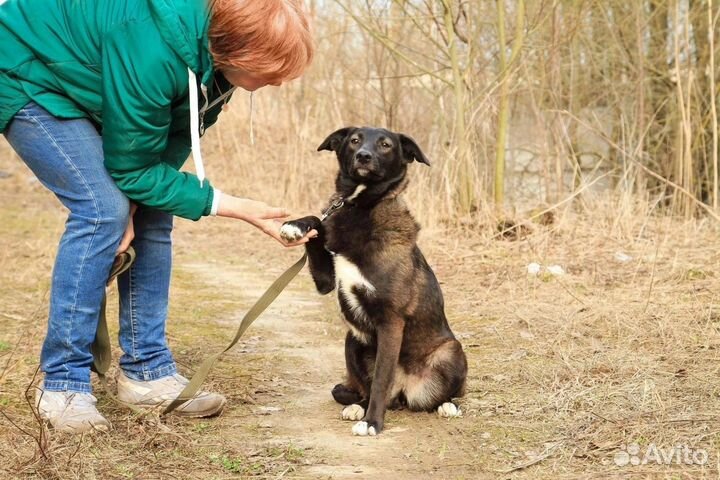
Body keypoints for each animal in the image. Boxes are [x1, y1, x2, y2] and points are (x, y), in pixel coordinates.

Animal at [282, 126, 466, 436]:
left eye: (386, 145)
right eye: (354, 140)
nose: (363, 156)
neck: (360, 206)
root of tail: (404, 391)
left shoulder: (391, 322)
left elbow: (381, 378)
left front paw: (372, 423)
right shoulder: (326, 282)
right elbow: (318, 224)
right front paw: (296, 226)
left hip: (451, 351)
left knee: (446, 393)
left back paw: (446, 405)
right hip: (353, 339)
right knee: (361, 388)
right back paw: (358, 406)